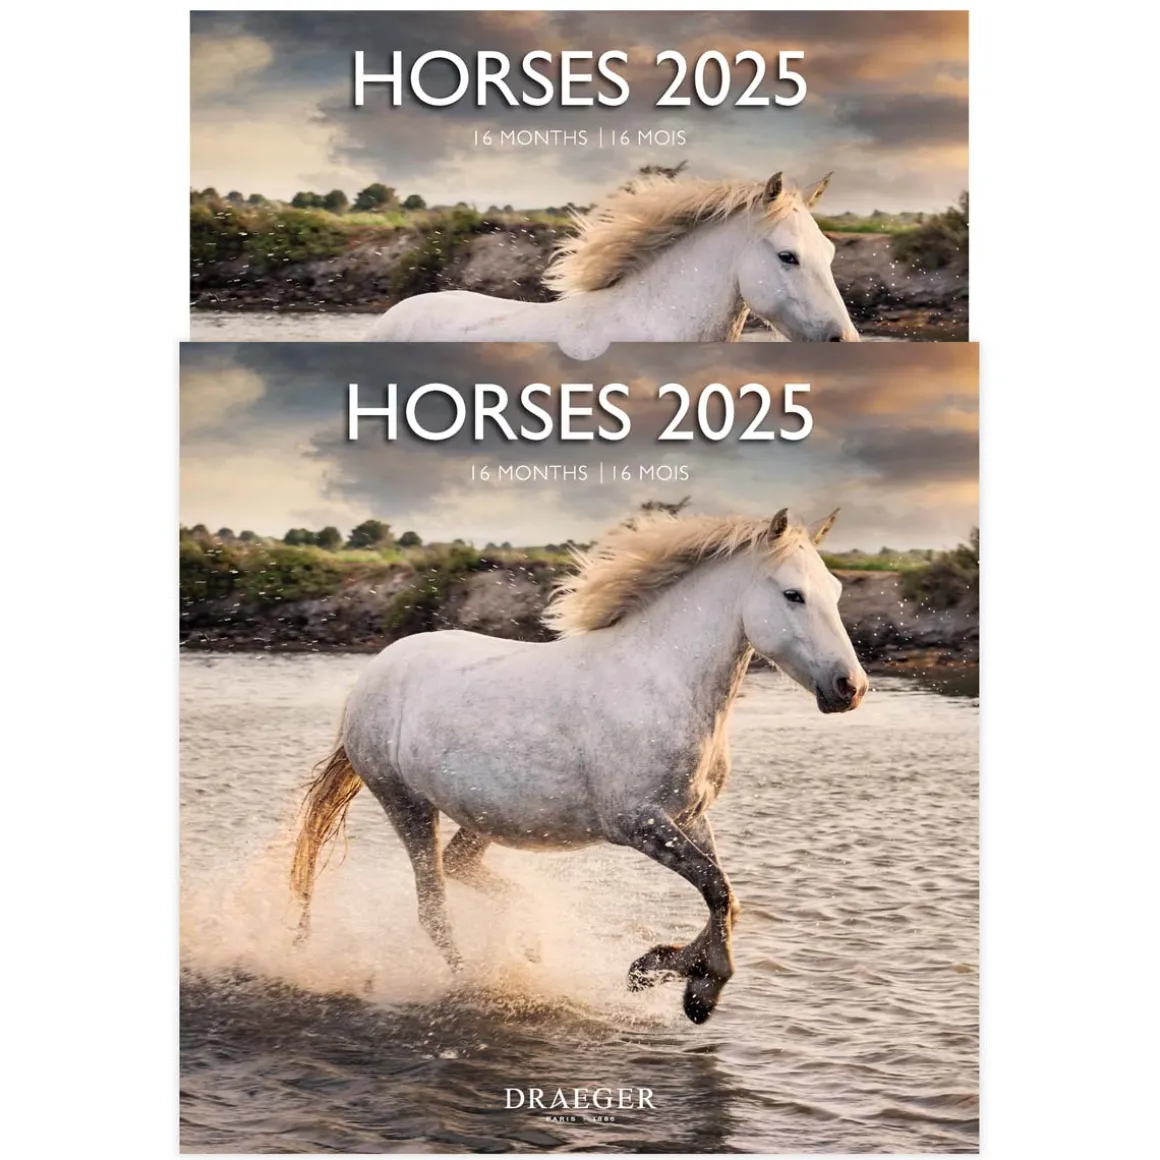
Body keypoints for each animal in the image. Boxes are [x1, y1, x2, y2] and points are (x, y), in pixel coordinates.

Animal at [291, 508, 869, 1023]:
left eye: (835, 592)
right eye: (793, 594)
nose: (851, 688)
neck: (662, 683)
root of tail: (373, 673)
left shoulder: (689, 817)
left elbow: (726, 897)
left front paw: (655, 970)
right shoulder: (637, 823)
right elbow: (717, 888)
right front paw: (693, 989)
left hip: (489, 816)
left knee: (460, 868)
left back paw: (528, 942)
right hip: (406, 804)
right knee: (433, 908)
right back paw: (476, 980)